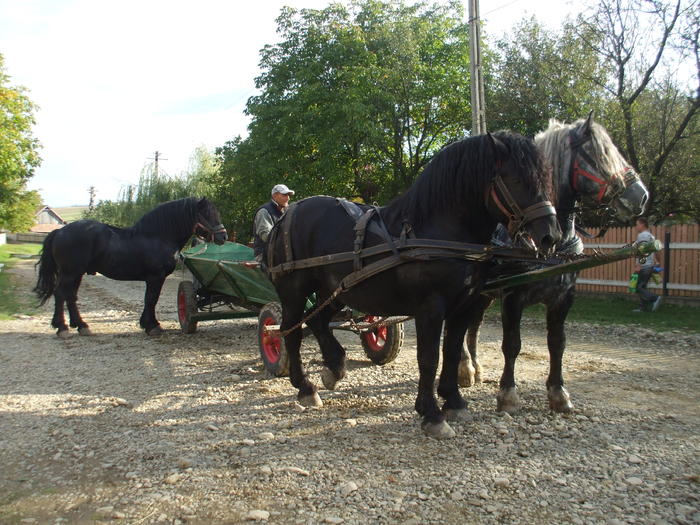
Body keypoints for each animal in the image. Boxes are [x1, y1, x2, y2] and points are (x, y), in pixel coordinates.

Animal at [34, 195, 226, 336]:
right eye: (207, 214)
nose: (223, 236)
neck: (158, 236)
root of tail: (60, 231)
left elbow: (150, 299)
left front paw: (146, 324)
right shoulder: (155, 277)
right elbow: (151, 299)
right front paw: (152, 326)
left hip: (76, 273)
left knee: (70, 296)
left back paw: (81, 326)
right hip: (70, 272)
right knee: (61, 294)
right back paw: (62, 328)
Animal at [266, 132, 560, 438]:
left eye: (545, 179)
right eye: (516, 180)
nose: (551, 236)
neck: (439, 231)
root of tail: (287, 216)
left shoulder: (464, 305)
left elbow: (451, 351)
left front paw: (454, 401)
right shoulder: (430, 308)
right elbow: (428, 358)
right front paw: (431, 413)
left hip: (335, 290)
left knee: (318, 322)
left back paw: (334, 368)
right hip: (294, 291)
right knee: (291, 332)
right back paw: (305, 387)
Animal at [456, 114, 648, 414]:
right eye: (599, 154)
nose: (641, 196)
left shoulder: (563, 297)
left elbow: (557, 344)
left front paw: (558, 393)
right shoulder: (513, 297)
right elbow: (512, 344)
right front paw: (508, 394)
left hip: (483, 294)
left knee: (472, 325)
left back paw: (473, 367)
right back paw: (464, 369)